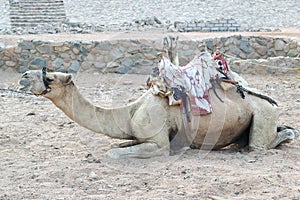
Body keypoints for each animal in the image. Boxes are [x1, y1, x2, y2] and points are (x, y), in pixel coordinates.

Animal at [18, 52, 298, 159]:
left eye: (50, 78)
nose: (23, 77)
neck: (130, 111)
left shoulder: (159, 143)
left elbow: (114, 153)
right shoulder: (138, 135)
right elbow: (118, 146)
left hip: (263, 113)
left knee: (259, 144)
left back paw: (285, 134)